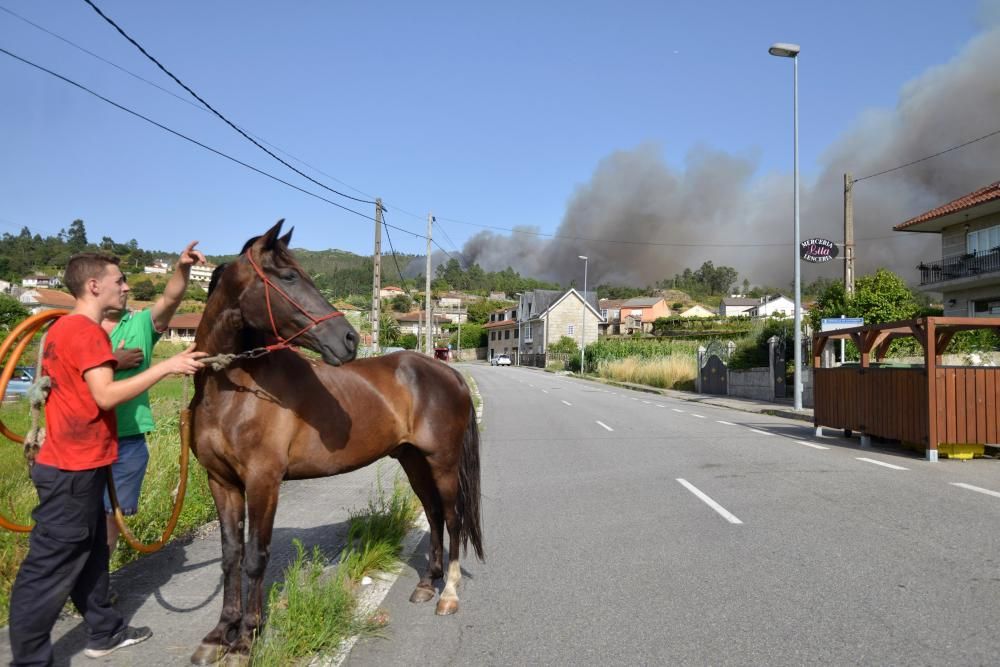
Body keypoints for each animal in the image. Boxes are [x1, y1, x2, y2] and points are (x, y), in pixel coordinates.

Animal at [190, 223, 484, 664]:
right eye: (288, 277)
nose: (347, 338)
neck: (231, 389)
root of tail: (447, 371)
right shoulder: (221, 482)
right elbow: (231, 557)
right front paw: (219, 634)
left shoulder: (263, 482)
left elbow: (256, 557)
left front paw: (245, 639)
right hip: (414, 461)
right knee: (432, 514)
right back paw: (426, 585)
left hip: (443, 463)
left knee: (451, 518)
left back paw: (447, 593)